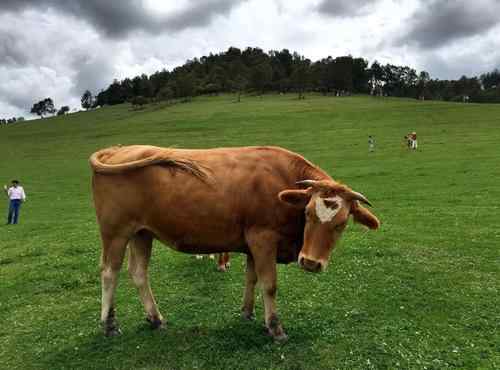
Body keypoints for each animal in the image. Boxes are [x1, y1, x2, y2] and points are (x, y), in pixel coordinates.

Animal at [90, 145, 378, 342]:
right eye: (307, 213)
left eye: (341, 224)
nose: (310, 262)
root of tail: (119, 150)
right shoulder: (263, 238)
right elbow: (269, 284)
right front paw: (275, 327)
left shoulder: (252, 244)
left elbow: (252, 278)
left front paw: (248, 312)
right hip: (116, 232)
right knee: (109, 272)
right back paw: (108, 324)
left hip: (142, 233)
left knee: (139, 273)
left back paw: (155, 318)